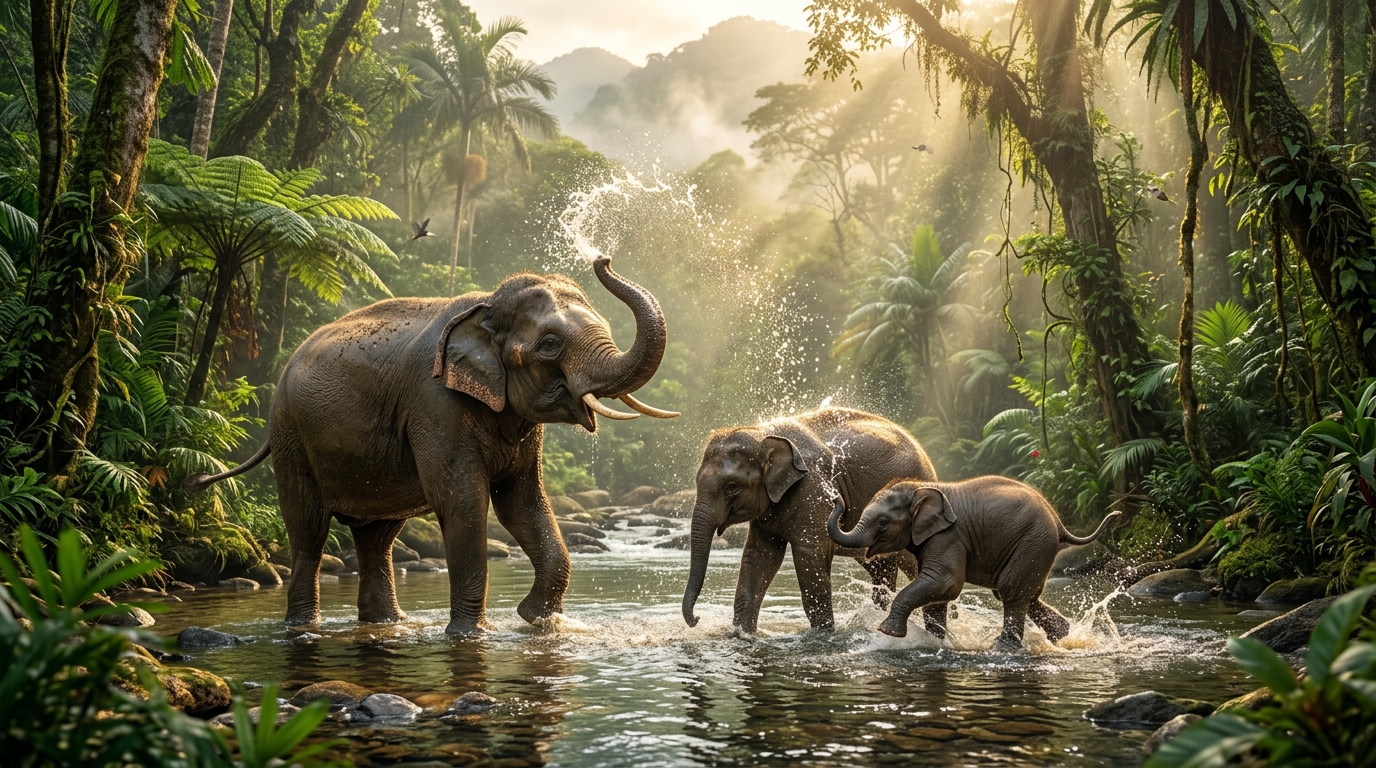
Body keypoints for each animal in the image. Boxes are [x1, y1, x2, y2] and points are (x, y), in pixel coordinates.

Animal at [187, 257, 676, 635]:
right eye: (550, 344)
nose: (602, 259)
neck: (485, 307)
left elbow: (522, 504)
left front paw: (538, 622)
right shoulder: (435, 403)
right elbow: (464, 502)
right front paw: (472, 634)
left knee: (377, 538)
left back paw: (387, 624)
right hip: (291, 436)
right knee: (308, 531)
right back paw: (305, 626)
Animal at [681, 407, 940, 634]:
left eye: (731, 487)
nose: (696, 619)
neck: (764, 433)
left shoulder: (814, 490)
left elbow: (809, 557)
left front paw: (823, 636)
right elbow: (759, 556)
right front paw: (741, 635)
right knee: (881, 567)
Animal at [827, 477, 1122, 650]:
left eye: (883, 522)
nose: (835, 497)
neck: (922, 487)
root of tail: (1060, 523)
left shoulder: (949, 537)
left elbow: (946, 582)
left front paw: (886, 632)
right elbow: (937, 593)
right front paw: (935, 641)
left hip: (1034, 541)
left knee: (1011, 590)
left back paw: (1002, 648)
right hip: (1036, 547)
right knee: (1024, 594)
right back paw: (1062, 637)